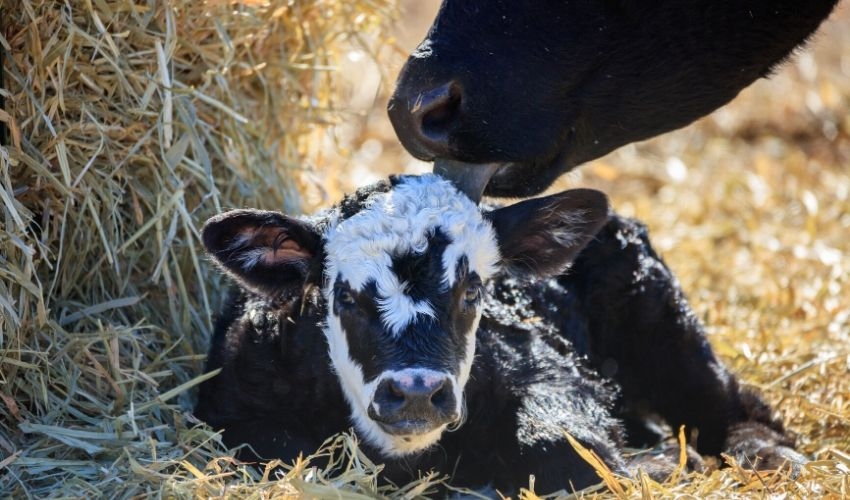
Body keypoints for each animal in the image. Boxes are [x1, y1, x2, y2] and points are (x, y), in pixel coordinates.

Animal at [195, 174, 802, 494]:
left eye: (473, 292)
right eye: (343, 297)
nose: (416, 392)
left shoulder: (551, 371)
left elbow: (564, 445)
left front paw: (656, 465)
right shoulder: (235, 410)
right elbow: (283, 450)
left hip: (661, 318)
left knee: (733, 402)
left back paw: (765, 454)